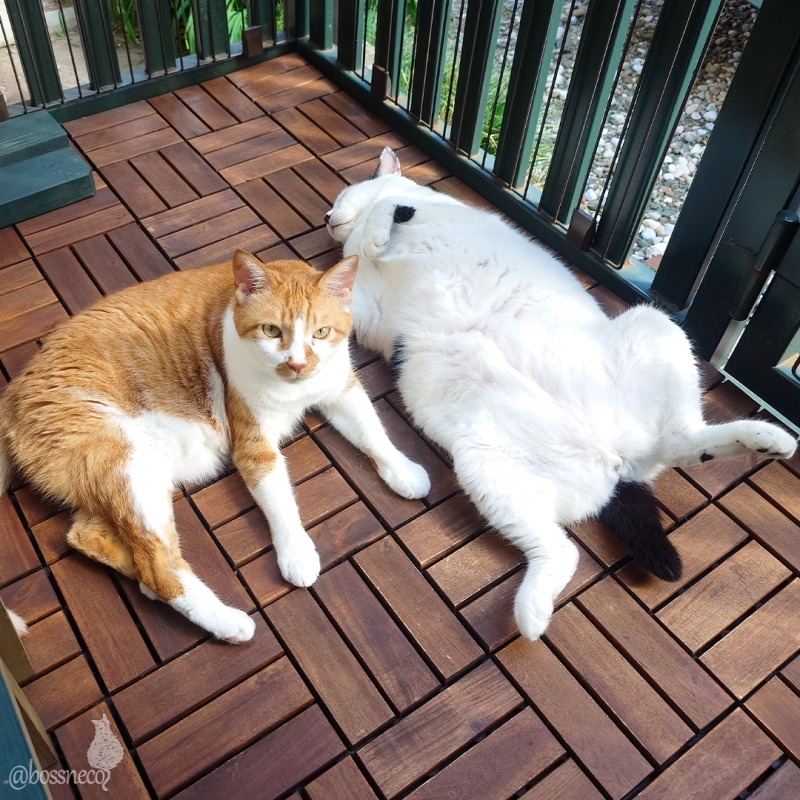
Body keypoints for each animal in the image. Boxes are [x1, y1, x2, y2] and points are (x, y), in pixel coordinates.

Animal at [0, 250, 430, 643]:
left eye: (321, 333)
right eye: (271, 331)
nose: (296, 364)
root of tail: (11, 394)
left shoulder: (342, 388)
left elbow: (373, 432)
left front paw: (404, 471)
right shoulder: (254, 445)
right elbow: (281, 503)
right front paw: (297, 553)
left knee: (90, 538)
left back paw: (141, 583)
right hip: (130, 465)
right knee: (159, 567)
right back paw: (227, 622)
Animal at [326, 147, 798, 641]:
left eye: (340, 196)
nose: (326, 216)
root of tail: (615, 458)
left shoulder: (415, 213)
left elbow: (388, 205)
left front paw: (385, 220)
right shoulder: (366, 310)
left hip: (652, 323)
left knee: (677, 443)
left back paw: (771, 438)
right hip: (487, 466)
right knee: (575, 540)